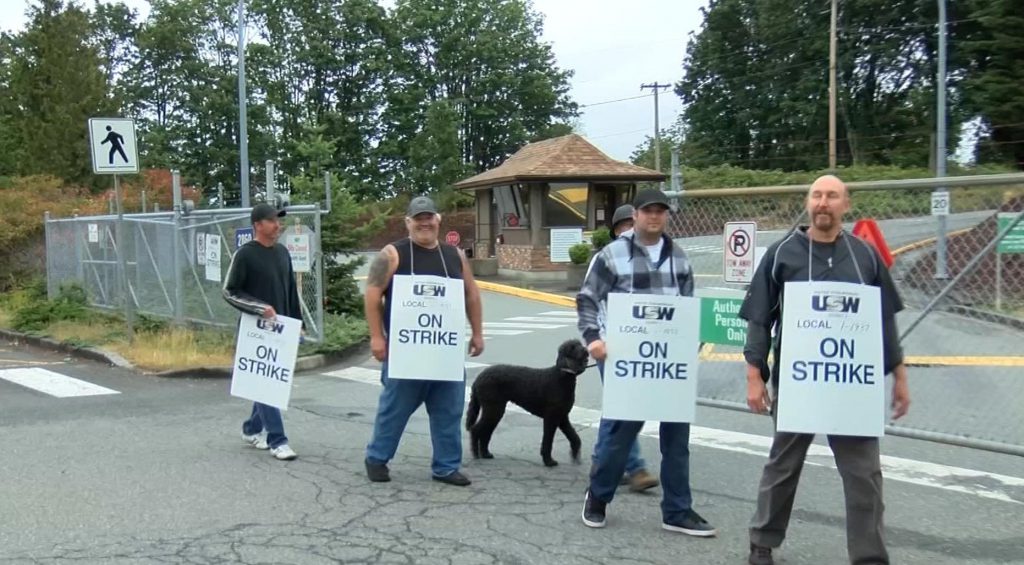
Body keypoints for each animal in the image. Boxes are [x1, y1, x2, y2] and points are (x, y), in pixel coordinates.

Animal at [466, 339, 593, 468]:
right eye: (572, 348)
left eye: (579, 344)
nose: (586, 350)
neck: (561, 377)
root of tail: (478, 379)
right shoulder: (551, 418)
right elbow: (548, 440)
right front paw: (548, 461)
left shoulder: (562, 417)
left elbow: (574, 436)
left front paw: (575, 454)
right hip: (493, 409)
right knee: (476, 430)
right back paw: (476, 454)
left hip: (495, 410)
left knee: (485, 433)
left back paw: (486, 453)